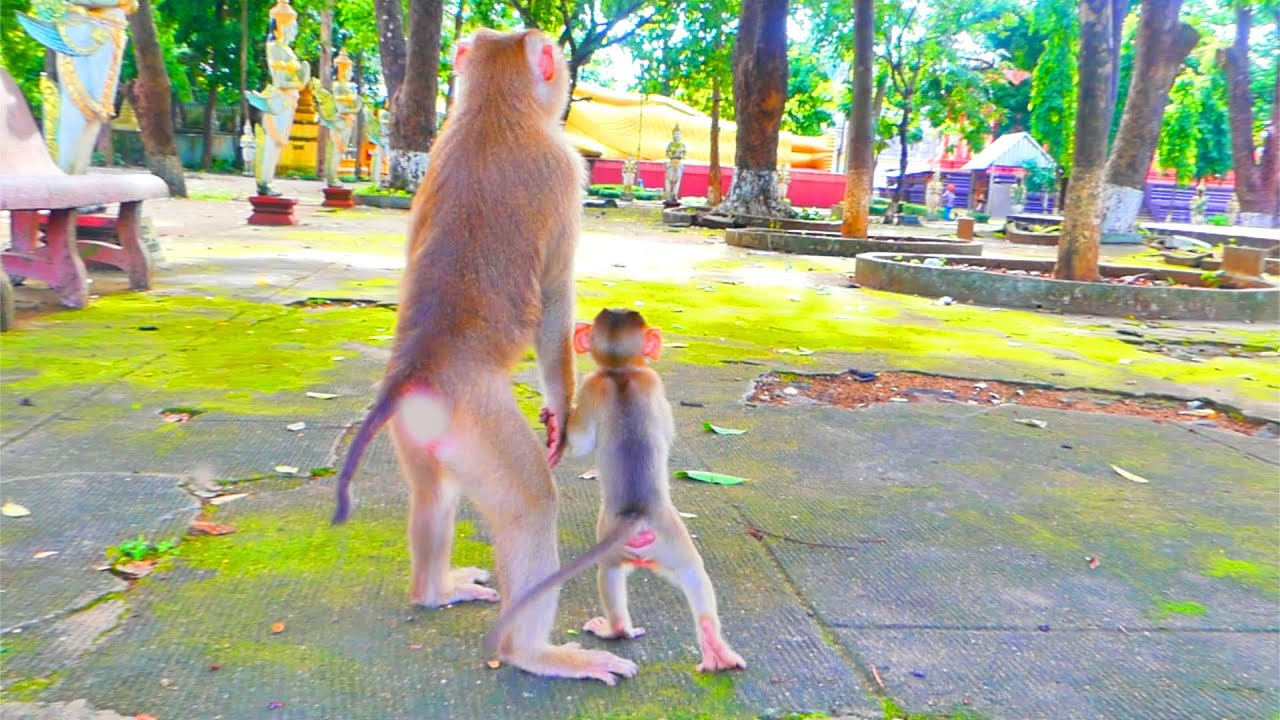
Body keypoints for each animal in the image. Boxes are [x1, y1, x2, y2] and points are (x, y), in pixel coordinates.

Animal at [329, 30, 637, 685]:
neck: (493, 109)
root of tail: (414, 374)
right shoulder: (566, 171)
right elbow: (554, 301)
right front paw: (562, 414)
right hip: (477, 417)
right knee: (529, 507)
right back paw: (533, 653)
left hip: (421, 431)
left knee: (435, 494)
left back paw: (433, 591)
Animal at [483, 308, 747, 675]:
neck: (620, 371)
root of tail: (637, 518)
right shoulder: (642, 382)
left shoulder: (598, 384)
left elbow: (580, 442)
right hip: (652, 535)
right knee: (660, 574)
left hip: (638, 536)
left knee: (655, 574)